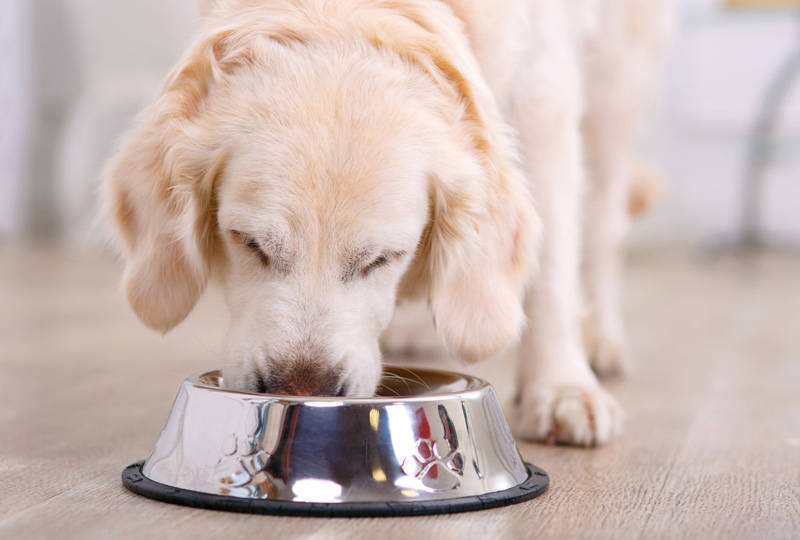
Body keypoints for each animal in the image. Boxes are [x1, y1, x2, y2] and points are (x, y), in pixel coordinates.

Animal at [103, 0, 672, 448]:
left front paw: (561, 389)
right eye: (251, 244)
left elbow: (552, 265)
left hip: (616, 85)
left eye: (383, 259)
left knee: (603, 225)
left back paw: (601, 340)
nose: (302, 391)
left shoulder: (543, 94)